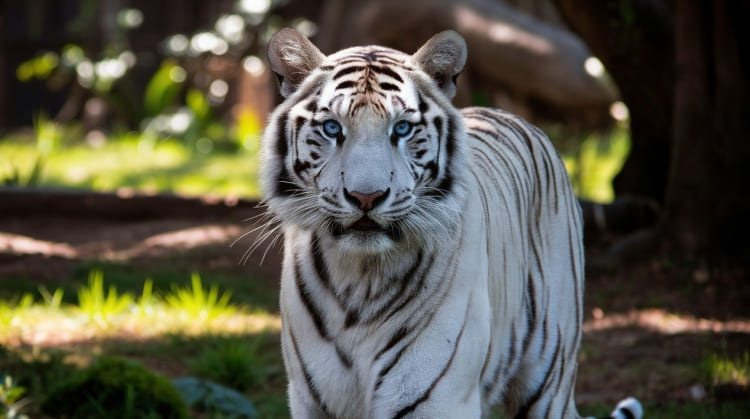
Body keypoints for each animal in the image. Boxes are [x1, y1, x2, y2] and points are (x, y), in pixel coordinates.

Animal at [262, 29, 644, 419]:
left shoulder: (435, 398)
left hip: (550, 376)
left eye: (402, 128)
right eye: (331, 128)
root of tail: (509, 115)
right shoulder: (313, 400)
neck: (361, 279)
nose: (366, 197)